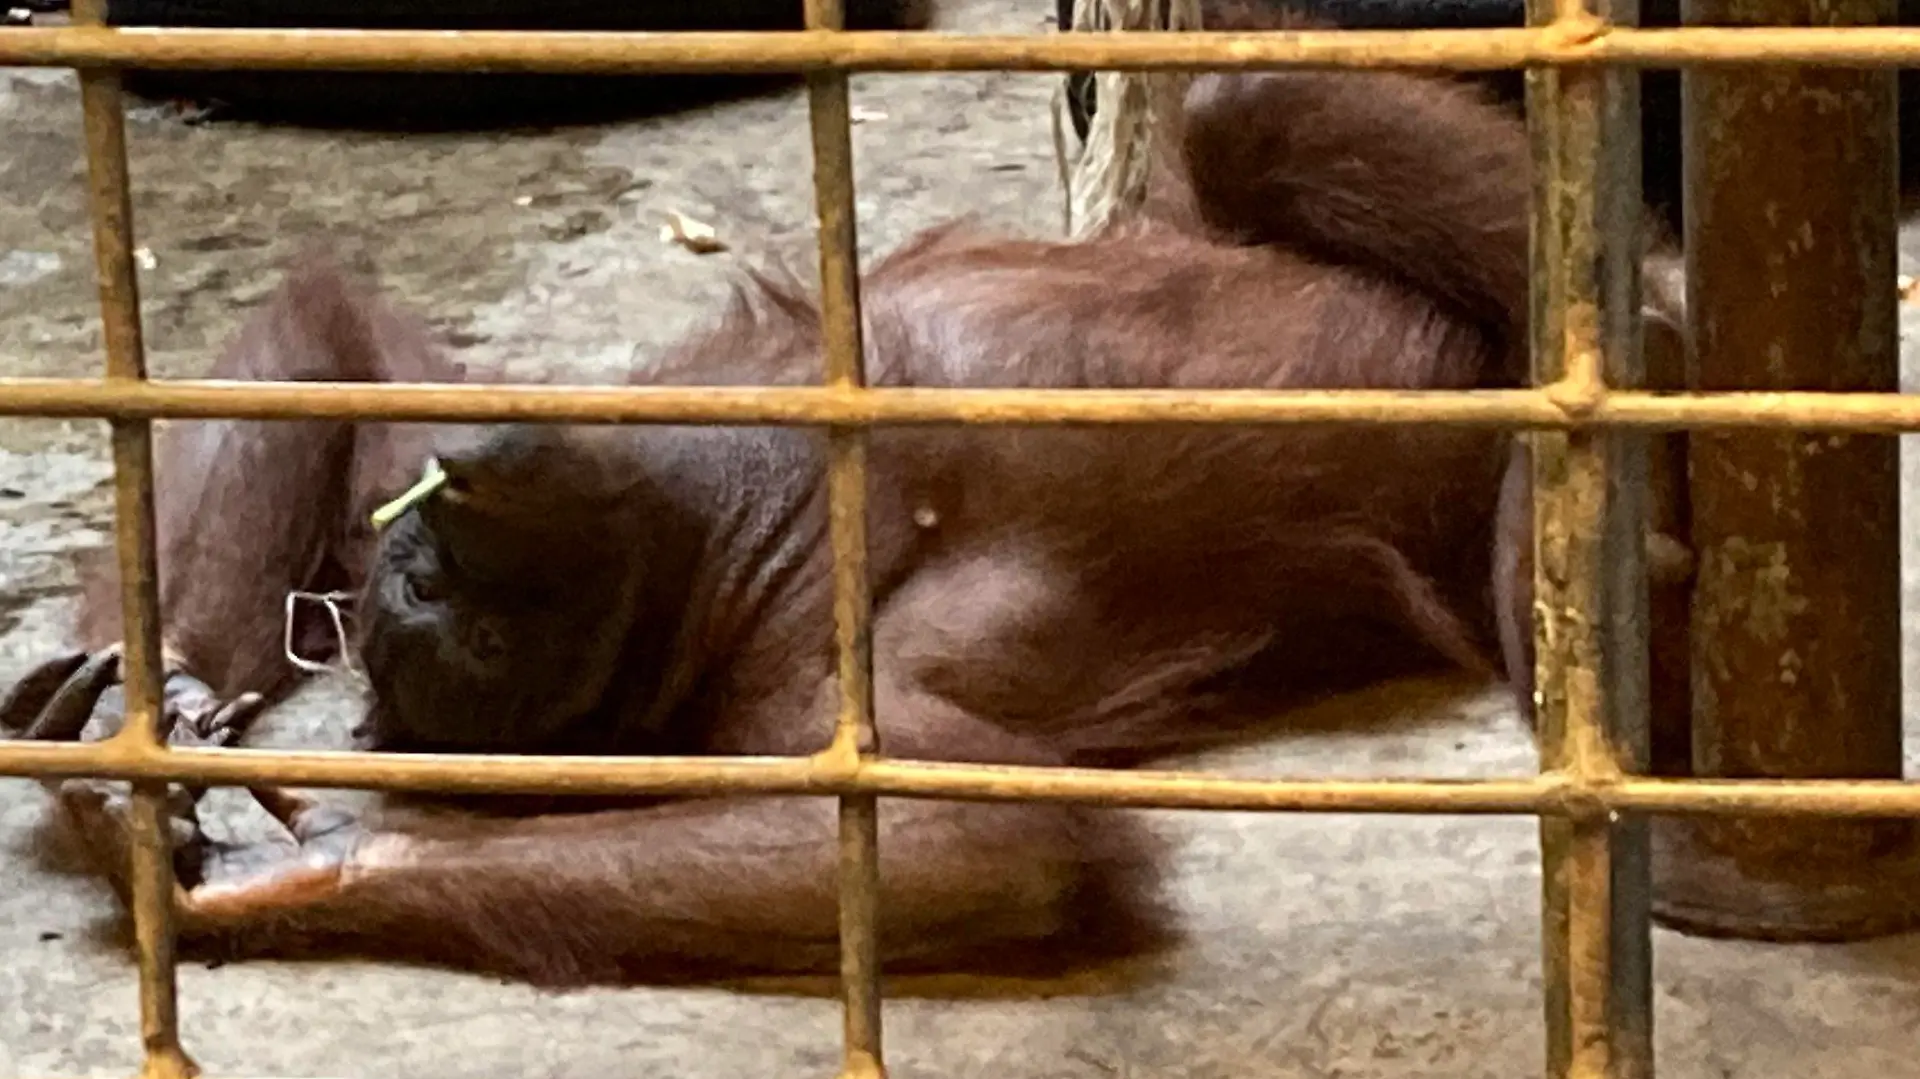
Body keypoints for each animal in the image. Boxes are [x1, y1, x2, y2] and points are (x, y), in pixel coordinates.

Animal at [5, 27, 1582, 988]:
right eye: (461, 611)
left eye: (433, 572)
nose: (451, 537)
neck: (729, 519)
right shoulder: (830, 673)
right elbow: (970, 843)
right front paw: (305, 867)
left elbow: (336, 349)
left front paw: (134, 713)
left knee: (1240, 111)